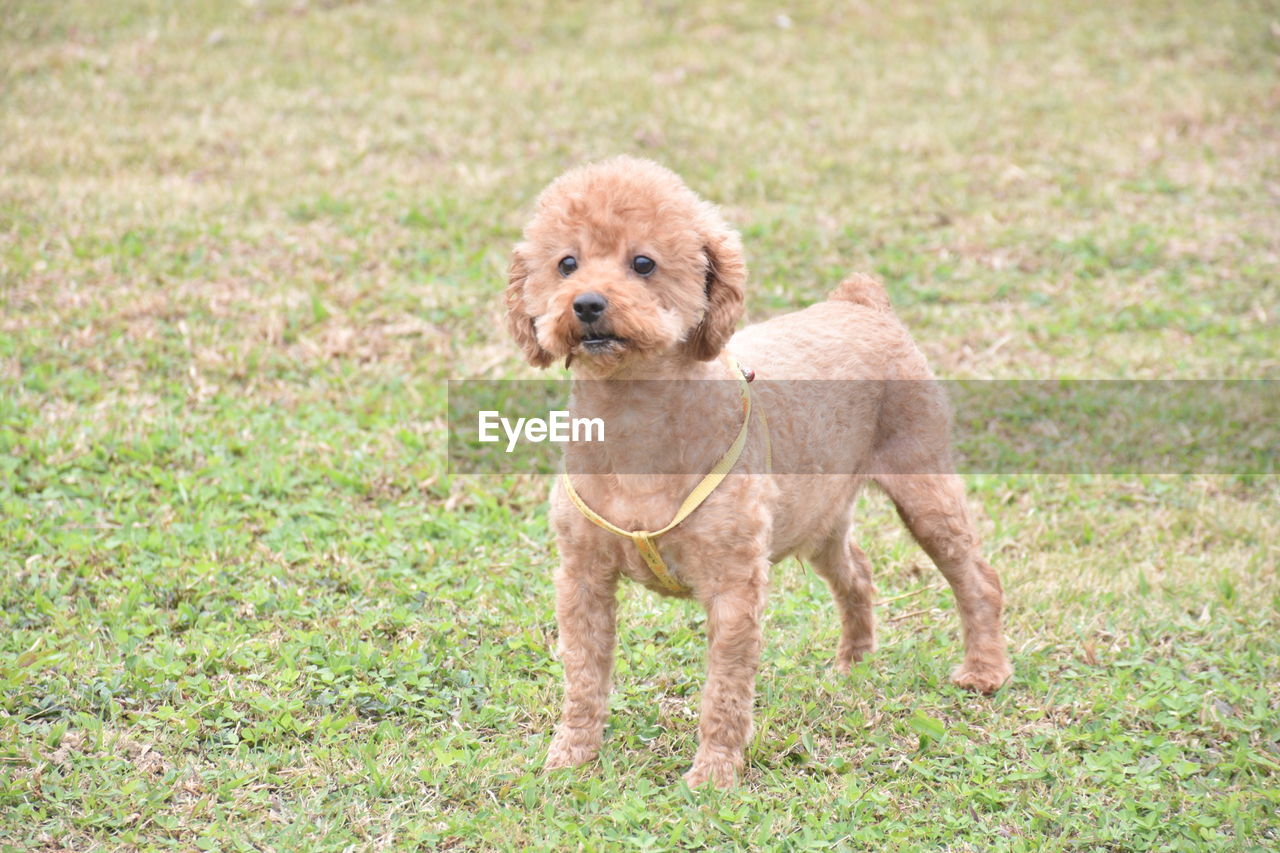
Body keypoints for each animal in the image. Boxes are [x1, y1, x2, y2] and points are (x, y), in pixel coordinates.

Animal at [499, 154, 1008, 783]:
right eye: (566, 263)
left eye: (643, 263)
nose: (587, 304)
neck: (636, 416)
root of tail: (859, 301)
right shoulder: (582, 577)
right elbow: (584, 677)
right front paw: (571, 757)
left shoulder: (734, 584)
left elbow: (724, 692)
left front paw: (714, 776)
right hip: (817, 514)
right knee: (857, 572)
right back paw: (855, 665)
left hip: (923, 478)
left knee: (977, 578)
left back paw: (985, 671)